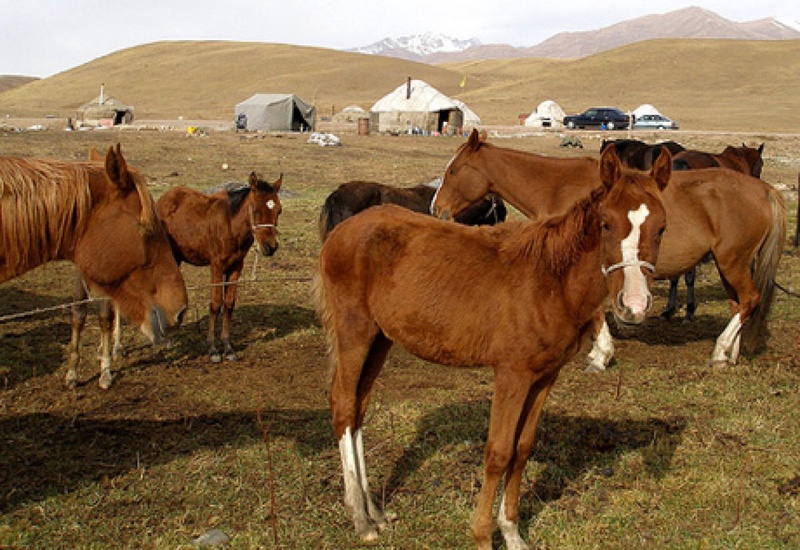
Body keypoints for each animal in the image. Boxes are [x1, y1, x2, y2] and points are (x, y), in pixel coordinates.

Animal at [0, 143, 189, 388]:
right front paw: (72, 372)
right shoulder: (82, 277)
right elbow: (78, 315)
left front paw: (105, 371)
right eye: (147, 228)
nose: (181, 311)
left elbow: (105, 319)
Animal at [155, 170, 282, 364]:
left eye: (279, 210)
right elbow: (215, 304)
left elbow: (228, 303)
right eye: (256, 210)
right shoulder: (216, 266)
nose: (270, 247)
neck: (231, 225)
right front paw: (213, 349)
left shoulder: (236, 266)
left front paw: (228, 347)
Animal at [434, 129, 784, 370]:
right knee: (738, 303)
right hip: (732, 264)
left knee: (748, 300)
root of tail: (763, 188)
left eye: (454, 171)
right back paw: (730, 354)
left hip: (732, 261)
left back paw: (720, 351)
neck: (558, 187)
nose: (437, 209)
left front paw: (600, 355)